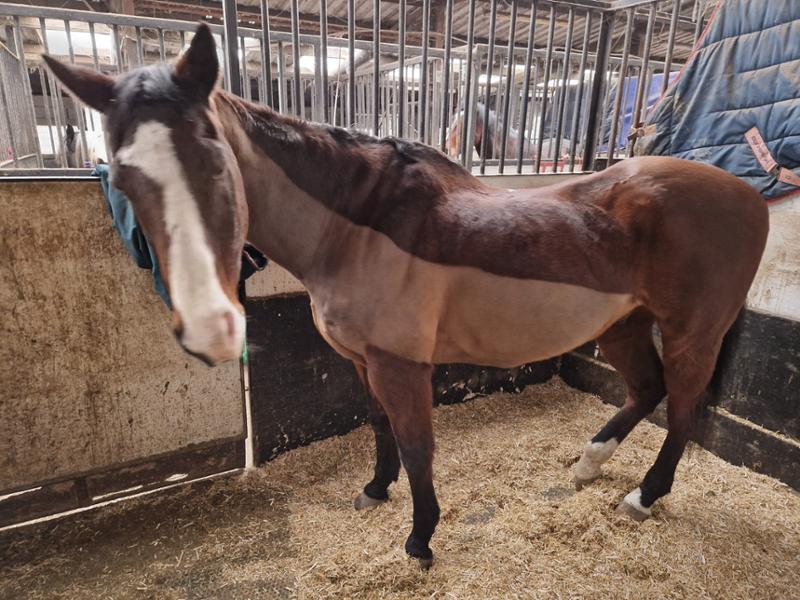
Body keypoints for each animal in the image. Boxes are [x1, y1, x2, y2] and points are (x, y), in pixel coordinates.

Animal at [43, 24, 768, 568]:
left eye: (217, 163)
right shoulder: (363, 360)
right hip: (623, 323)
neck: (358, 228)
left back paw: (644, 496)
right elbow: (380, 426)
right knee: (645, 390)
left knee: (681, 411)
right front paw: (374, 490)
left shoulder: (401, 364)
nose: (210, 328)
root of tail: (750, 196)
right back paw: (590, 464)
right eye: (122, 178)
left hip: (691, 332)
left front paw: (420, 540)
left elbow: (419, 445)